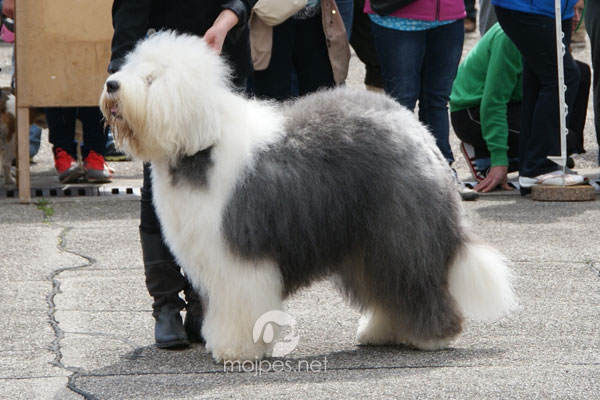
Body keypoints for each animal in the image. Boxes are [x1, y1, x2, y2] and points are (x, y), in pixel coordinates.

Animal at [101, 32, 516, 362]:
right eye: (132, 65)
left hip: (398, 232)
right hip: (366, 241)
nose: (111, 85)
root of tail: (416, 128)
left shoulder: (238, 255)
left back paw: (433, 336)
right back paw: (383, 331)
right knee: (385, 286)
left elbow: (240, 304)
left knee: (413, 281)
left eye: (152, 78)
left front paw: (236, 349)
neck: (200, 141)